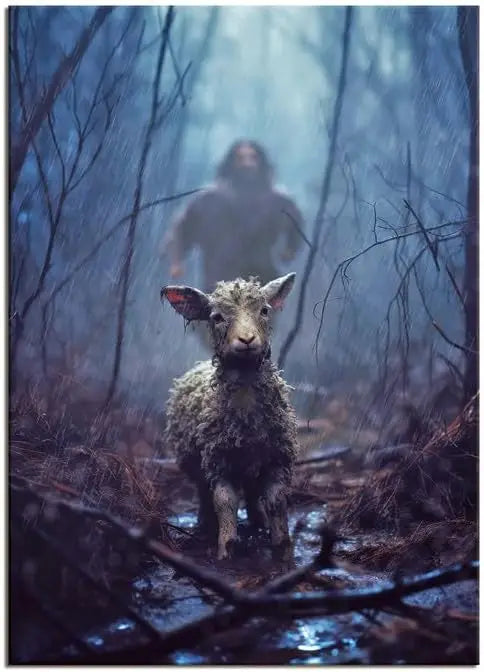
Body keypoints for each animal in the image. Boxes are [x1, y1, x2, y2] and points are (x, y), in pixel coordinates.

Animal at [161, 273, 299, 560]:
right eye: (216, 317)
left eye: (264, 310)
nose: (246, 340)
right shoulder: (218, 461)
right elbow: (224, 501)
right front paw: (226, 547)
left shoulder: (278, 457)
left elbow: (277, 499)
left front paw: (283, 547)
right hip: (197, 465)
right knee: (205, 494)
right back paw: (205, 524)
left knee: (254, 495)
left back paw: (259, 522)